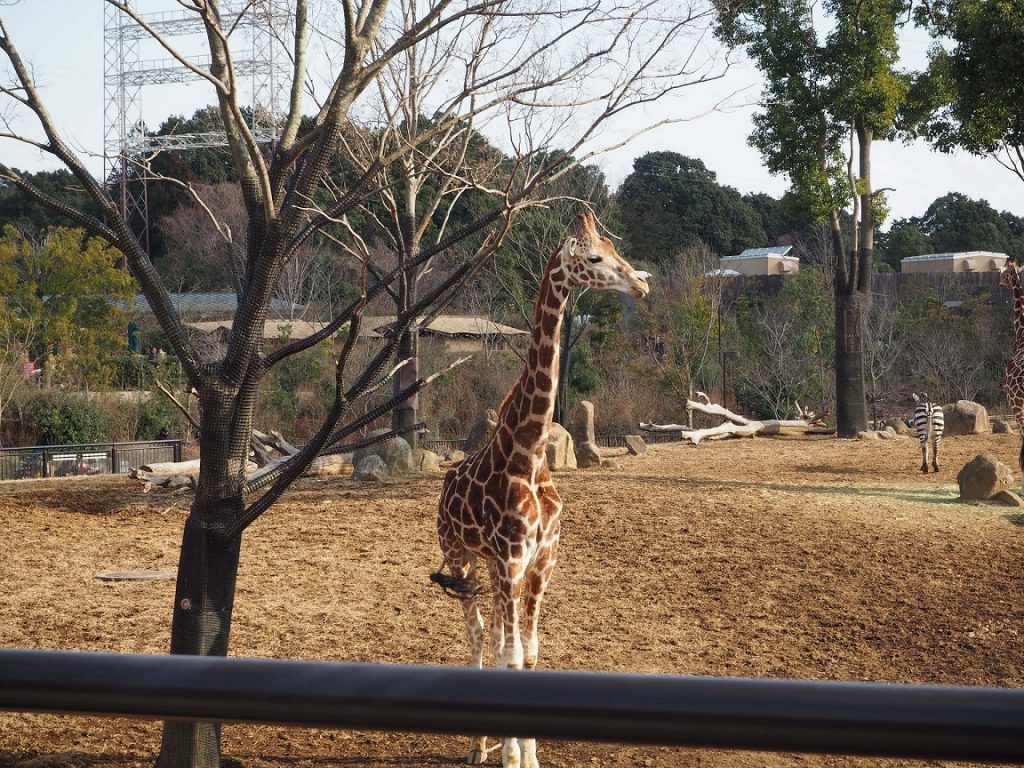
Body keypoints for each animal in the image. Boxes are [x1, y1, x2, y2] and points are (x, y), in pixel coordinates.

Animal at [432, 210, 647, 768]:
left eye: (614, 247)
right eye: (593, 257)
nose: (641, 283)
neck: (530, 452)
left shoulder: (541, 559)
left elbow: (528, 653)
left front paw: (527, 756)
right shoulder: (511, 559)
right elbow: (509, 655)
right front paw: (511, 756)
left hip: (490, 566)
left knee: (494, 633)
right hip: (461, 555)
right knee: (476, 634)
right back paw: (477, 747)